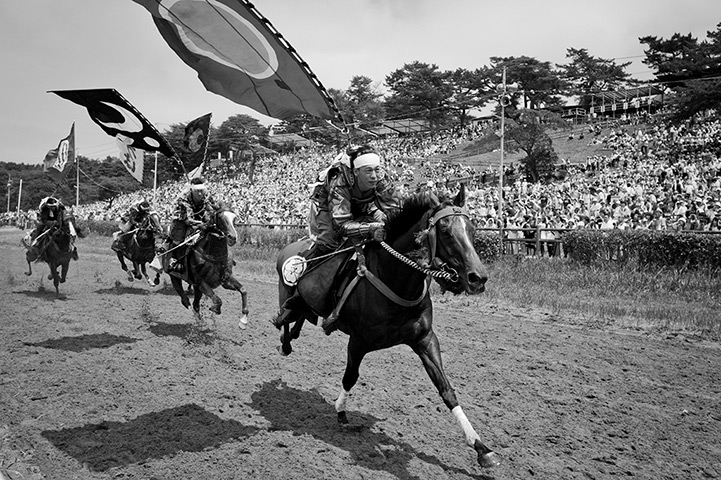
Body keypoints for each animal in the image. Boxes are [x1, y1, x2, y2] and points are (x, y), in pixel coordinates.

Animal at [272, 187, 498, 468]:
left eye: (473, 229)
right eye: (445, 231)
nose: (478, 278)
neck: (395, 279)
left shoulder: (425, 339)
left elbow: (446, 389)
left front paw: (480, 446)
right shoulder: (358, 341)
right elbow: (350, 377)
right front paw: (341, 413)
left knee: (299, 316)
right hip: (286, 291)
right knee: (285, 316)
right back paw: (285, 341)